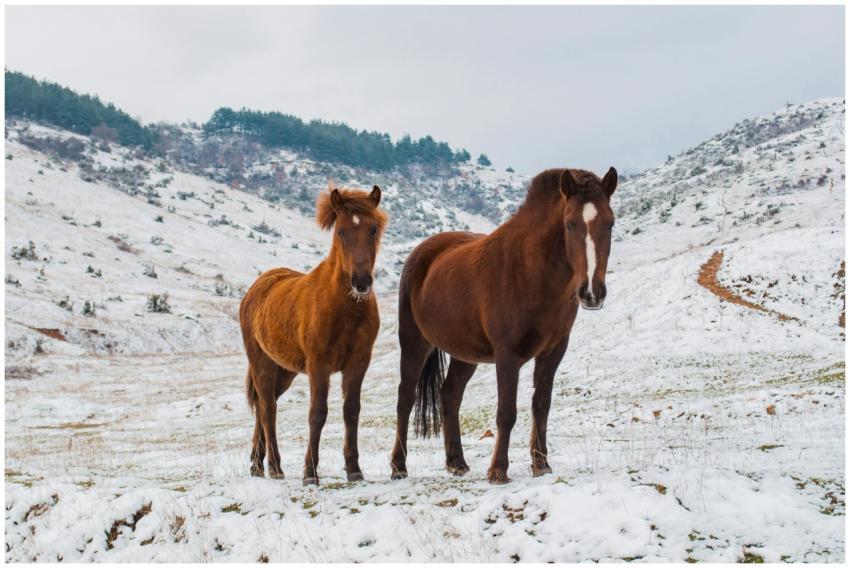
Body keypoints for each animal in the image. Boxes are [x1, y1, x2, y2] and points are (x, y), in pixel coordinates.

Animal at [240, 182, 388, 485]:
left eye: (373, 229)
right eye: (341, 231)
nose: (361, 282)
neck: (344, 310)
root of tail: (255, 289)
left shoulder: (358, 364)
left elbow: (351, 411)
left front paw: (354, 469)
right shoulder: (319, 365)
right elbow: (317, 413)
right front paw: (310, 473)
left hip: (284, 371)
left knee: (263, 406)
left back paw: (257, 465)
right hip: (262, 364)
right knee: (268, 410)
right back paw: (275, 467)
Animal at [390, 167, 618, 484]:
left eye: (610, 223)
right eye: (570, 224)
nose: (592, 292)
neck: (531, 272)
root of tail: (421, 253)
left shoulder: (553, 352)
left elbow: (541, 405)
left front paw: (541, 464)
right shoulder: (507, 355)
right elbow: (506, 412)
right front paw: (498, 470)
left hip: (465, 354)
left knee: (450, 395)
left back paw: (456, 462)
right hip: (414, 343)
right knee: (405, 399)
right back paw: (398, 466)